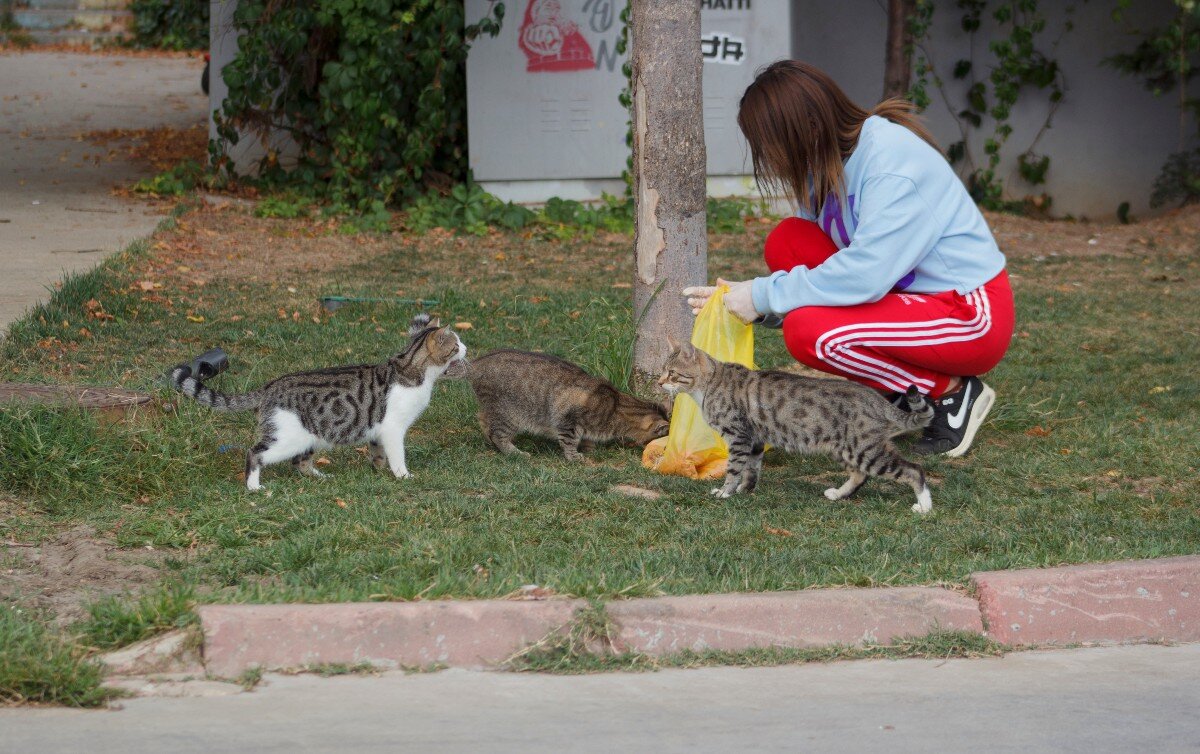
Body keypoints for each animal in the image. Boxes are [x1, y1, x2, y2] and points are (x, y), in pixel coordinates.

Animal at [171, 314, 465, 492]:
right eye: (456, 344)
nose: (466, 347)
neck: (412, 369)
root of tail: (270, 386)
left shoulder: (377, 430)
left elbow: (378, 453)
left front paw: (378, 470)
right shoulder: (393, 428)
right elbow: (398, 455)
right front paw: (403, 475)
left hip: (308, 437)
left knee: (300, 463)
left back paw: (321, 477)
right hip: (286, 439)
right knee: (254, 453)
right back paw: (254, 487)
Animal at [460, 350, 672, 463]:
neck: (617, 406)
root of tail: (475, 364)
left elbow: (587, 439)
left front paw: (590, 448)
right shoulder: (568, 421)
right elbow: (569, 442)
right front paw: (575, 456)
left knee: (483, 421)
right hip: (509, 415)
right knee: (497, 434)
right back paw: (516, 452)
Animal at [657, 338, 936, 516]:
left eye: (672, 373)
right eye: (663, 370)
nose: (659, 383)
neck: (709, 385)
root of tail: (877, 400)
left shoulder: (738, 436)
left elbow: (734, 468)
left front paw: (726, 492)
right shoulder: (755, 439)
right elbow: (751, 469)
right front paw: (745, 490)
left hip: (865, 450)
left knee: (914, 470)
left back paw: (924, 506)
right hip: (844, 449)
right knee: (860, 475)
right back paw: (838, 494)